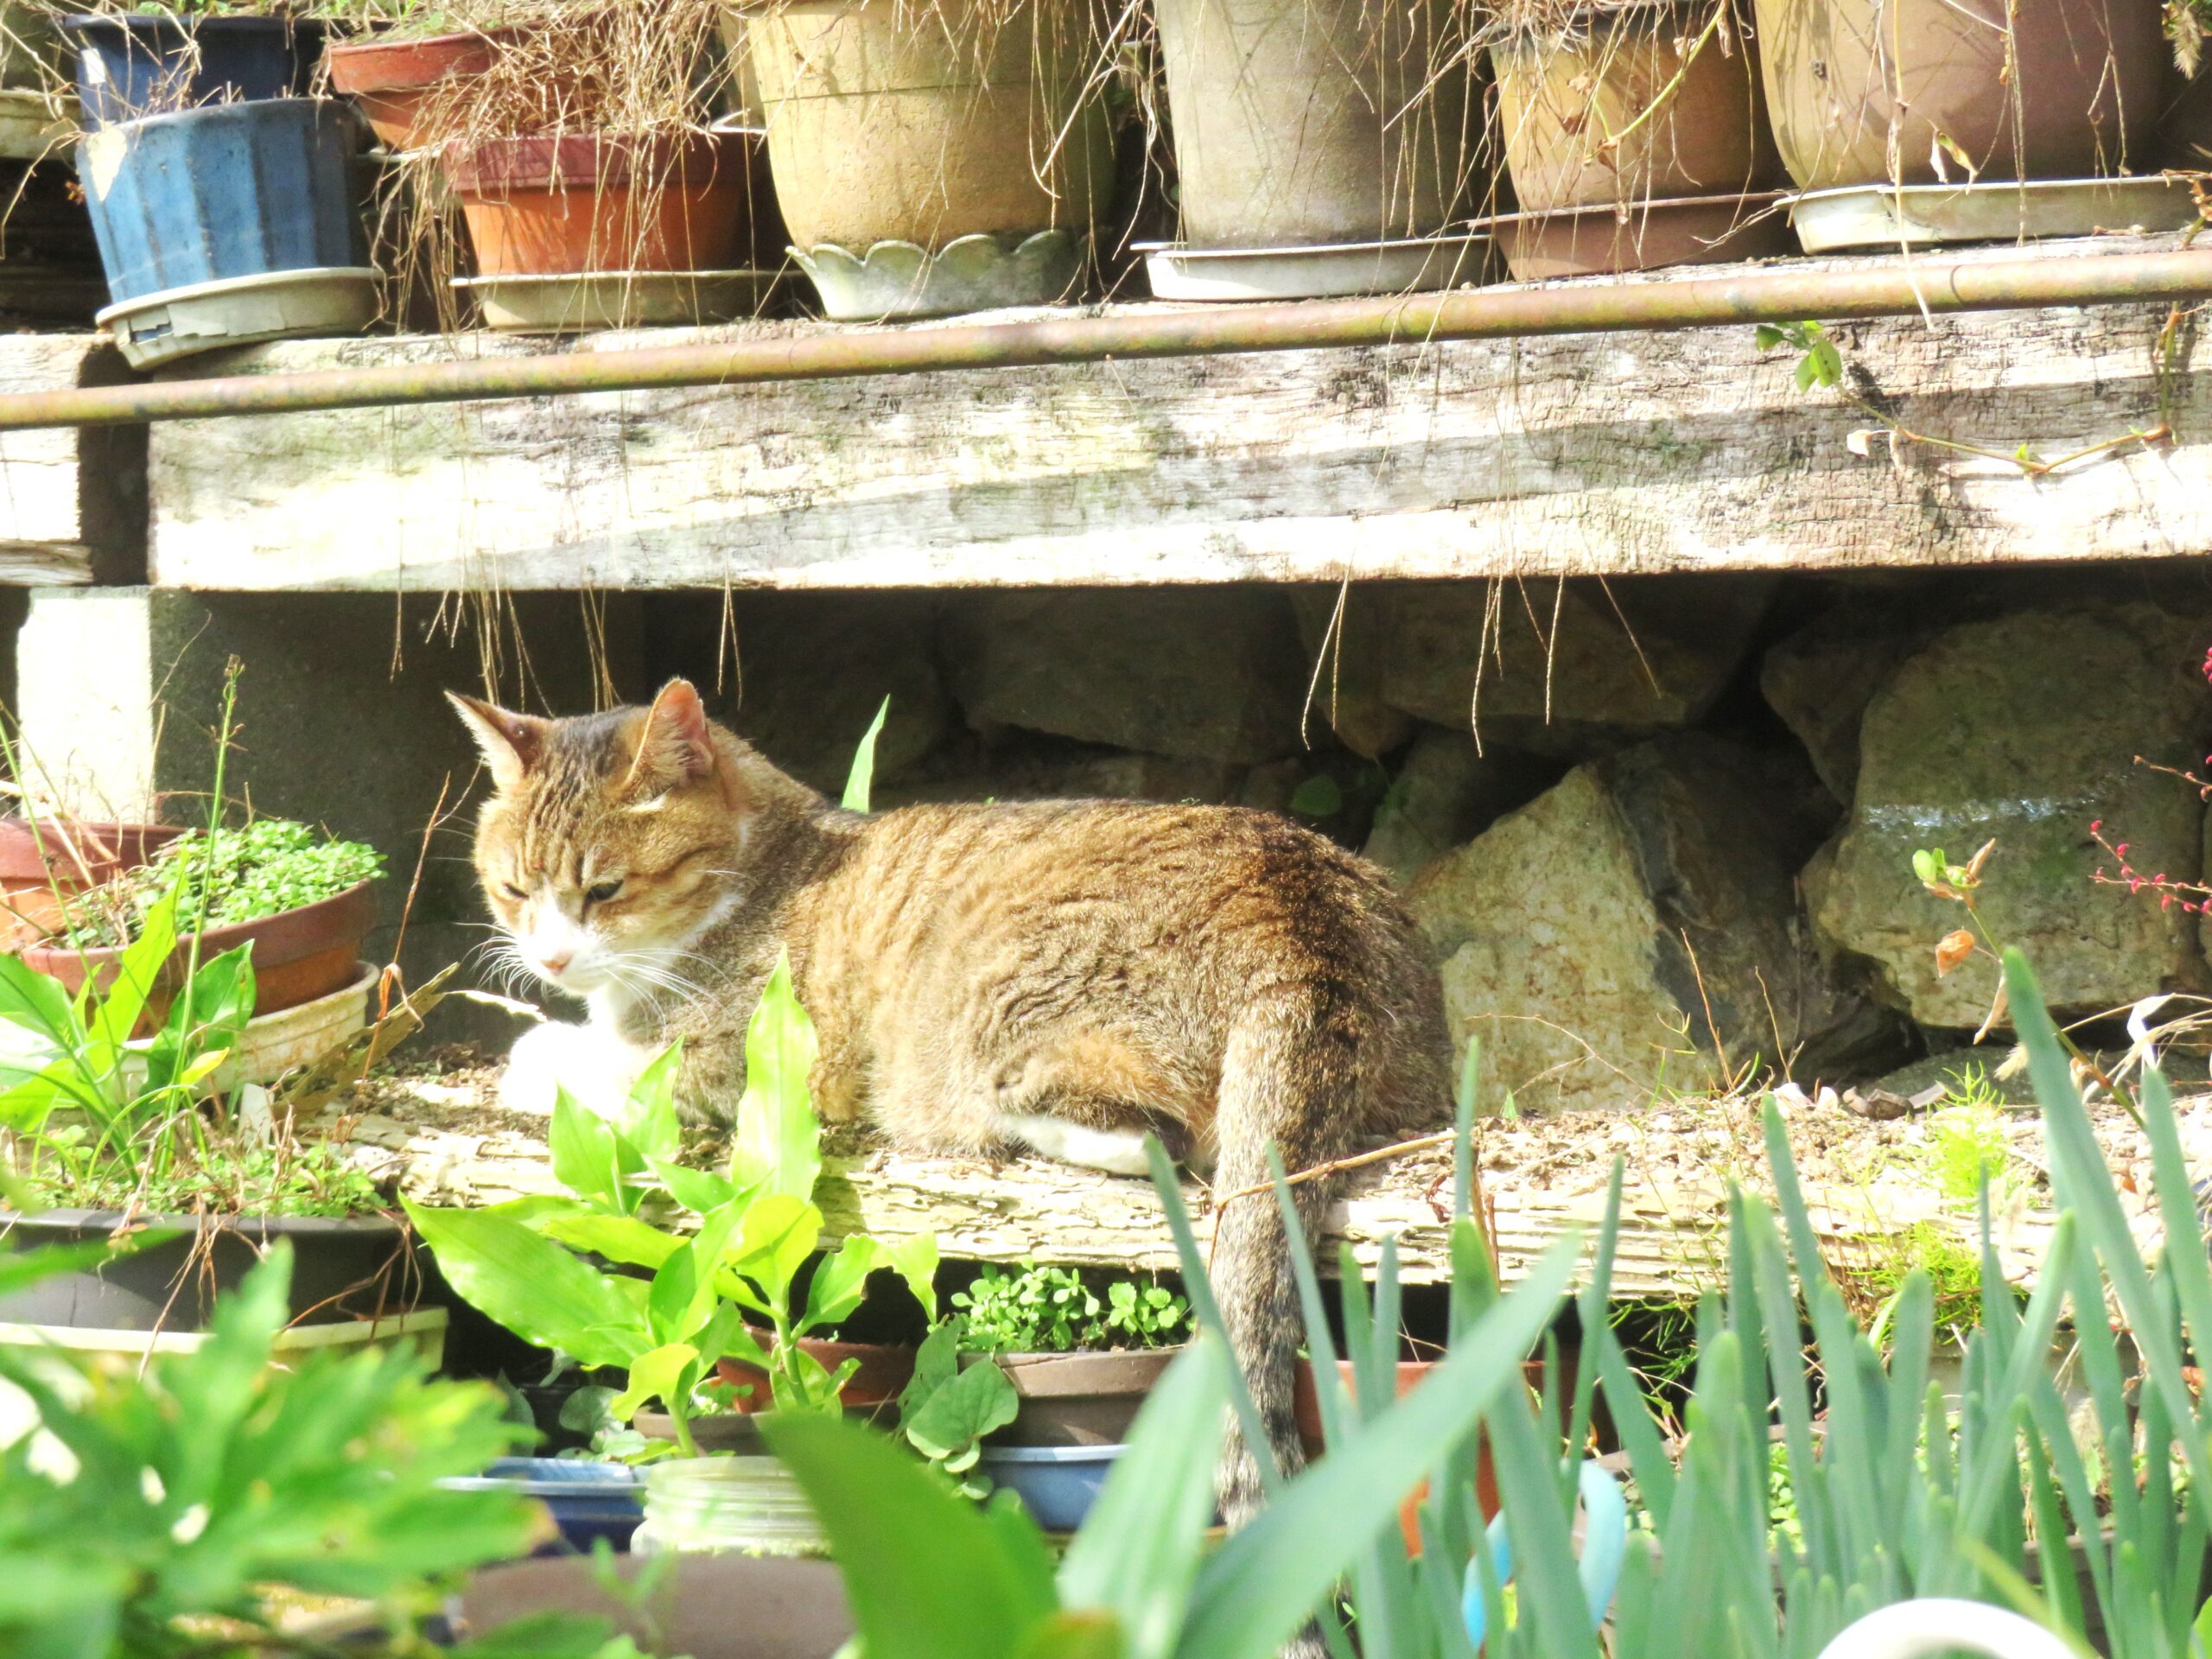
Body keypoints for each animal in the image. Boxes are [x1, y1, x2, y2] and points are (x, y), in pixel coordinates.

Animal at [448, 677, 1451, 1522]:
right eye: (513, 889)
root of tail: (1302, 920)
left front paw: (535, 1051)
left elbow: (596, 1062)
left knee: (1154, 1134)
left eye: (605, 889)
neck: (768, 862)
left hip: (996, 1015)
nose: (548, 960)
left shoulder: (737, 1062)